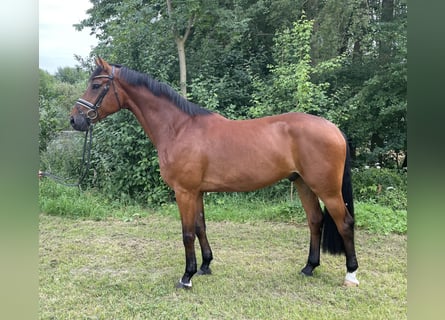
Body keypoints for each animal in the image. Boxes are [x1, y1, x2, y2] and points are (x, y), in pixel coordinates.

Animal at [71, 58, 360, 290]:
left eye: (95, 85)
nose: (75, 119)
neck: (178, 128)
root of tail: (334, 129)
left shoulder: (184, 192)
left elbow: (187, 233)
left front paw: (186, 277)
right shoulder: (197, 191)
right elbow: (201, 227)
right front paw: (205, 266)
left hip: (327, 189)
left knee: (344, 223)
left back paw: (351, 275)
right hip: (303, 183)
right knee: (315, 221)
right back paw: (309, 267)